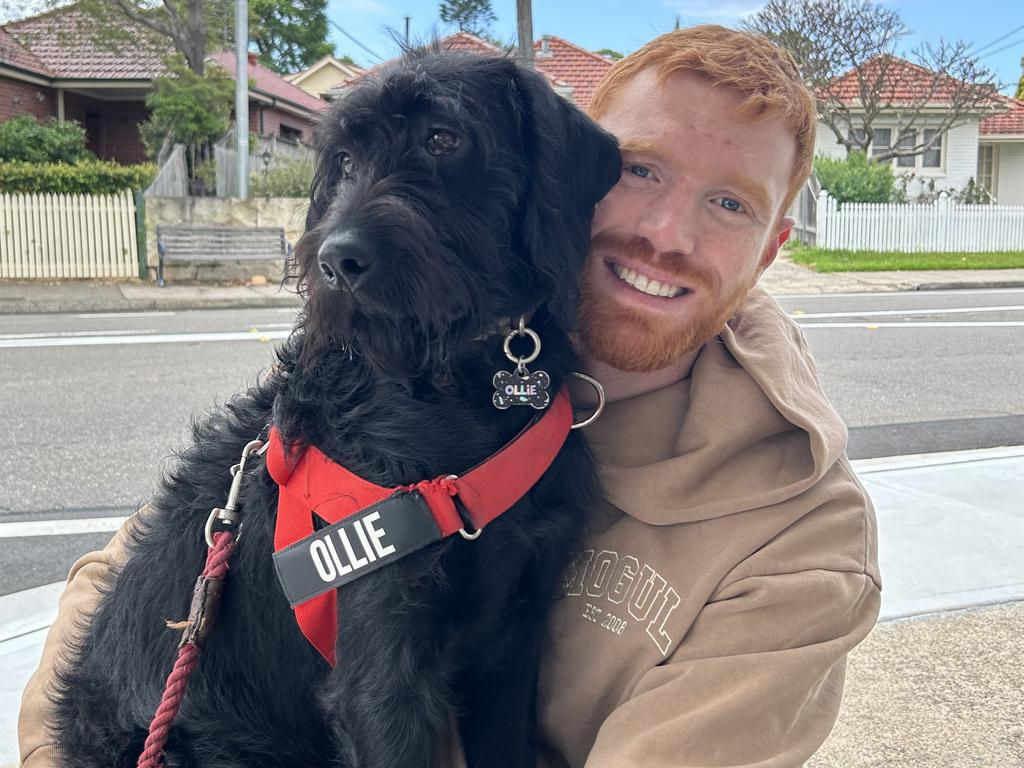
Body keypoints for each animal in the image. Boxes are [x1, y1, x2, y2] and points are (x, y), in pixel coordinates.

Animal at [54, 49, 614, 768]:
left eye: (443, 138)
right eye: (345, 159)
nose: (336, 261)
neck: (449, 387)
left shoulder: (512, 639)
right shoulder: (382, 667)